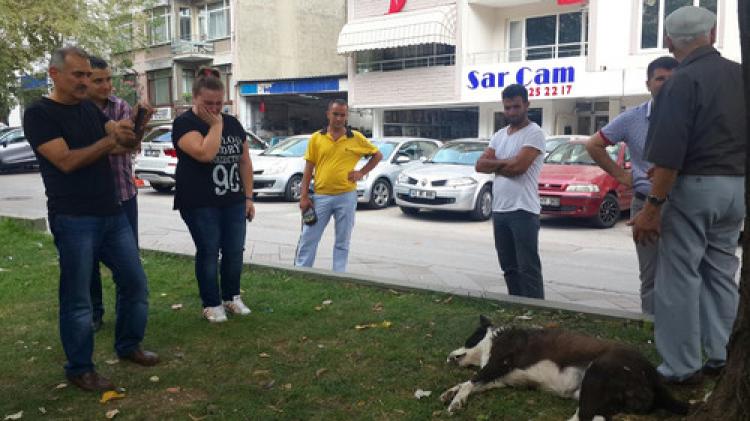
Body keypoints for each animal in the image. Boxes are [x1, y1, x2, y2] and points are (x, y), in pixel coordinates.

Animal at [440, 316, 692, 420]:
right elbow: (469, 383)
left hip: (596, 373)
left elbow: (470, 382)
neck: (493, 338)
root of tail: (653, 375)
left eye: (468, 339)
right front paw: (450, 392)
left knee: (586, 418)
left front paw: (456, 401)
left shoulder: (497, 364)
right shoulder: (501, 378)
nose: (448, 356)